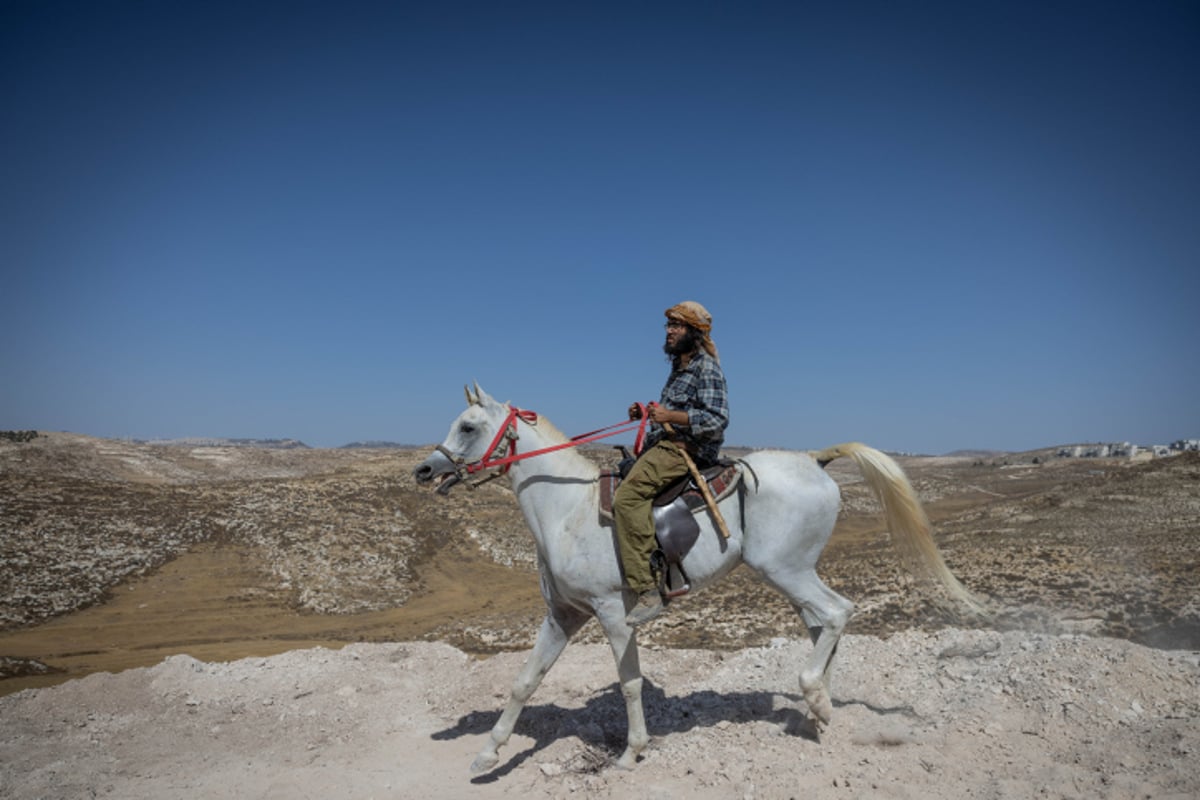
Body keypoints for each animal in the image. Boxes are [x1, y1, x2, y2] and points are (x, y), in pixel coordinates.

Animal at [415, 383, 984, 772]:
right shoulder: (564, 614)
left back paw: (815, 696)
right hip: (794, 574)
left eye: (468, 426)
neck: (565, 509)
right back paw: (816, 710)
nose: (424, 471)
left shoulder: (612, 613)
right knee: (822, 624)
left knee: (838, 613)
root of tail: (817, 460)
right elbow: (524, 680)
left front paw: (631, 752)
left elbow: (629, 684)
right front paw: (488, 754)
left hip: (786, 570)